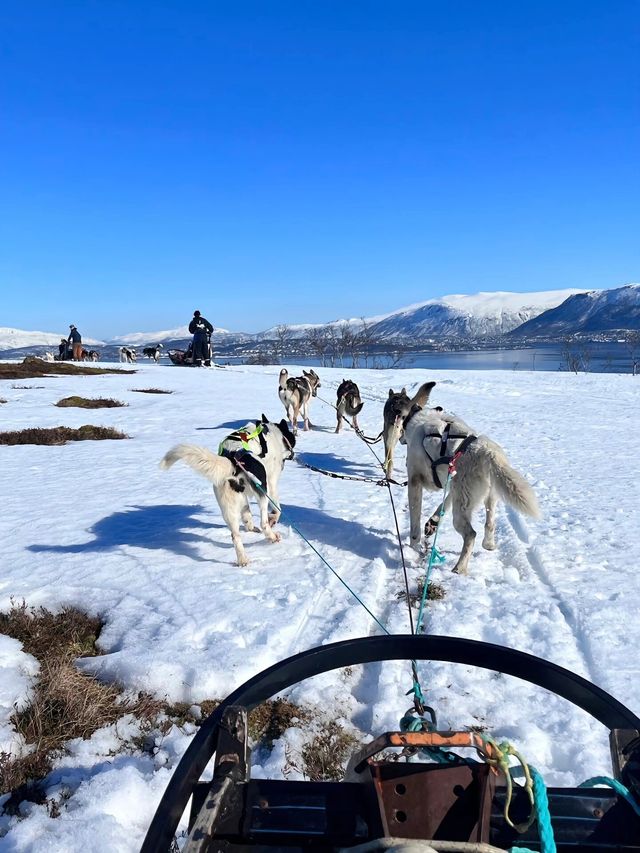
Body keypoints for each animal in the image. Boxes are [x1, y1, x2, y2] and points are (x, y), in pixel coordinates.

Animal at [162, 414, 298, 564]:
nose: (293, 455)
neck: (272, 434)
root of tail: (233, 460)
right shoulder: (271, 483)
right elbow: (277, 509)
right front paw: (273, 518)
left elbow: (247, 515)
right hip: (262, 494)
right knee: (263, 523)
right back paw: (272, 537)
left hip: (229, 507)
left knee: (236, 535)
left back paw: (243, 559)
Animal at [404, 402, 540, 576]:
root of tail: (487, 451)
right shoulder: (452, 485)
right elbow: (443, 505)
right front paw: (433, 522)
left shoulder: (415, 482)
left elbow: (415, 525)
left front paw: (413, 548)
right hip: (486, 497)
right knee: (490, 524)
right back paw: (488, 544)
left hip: (460, 511)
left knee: (471, 535)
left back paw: (459, 568)